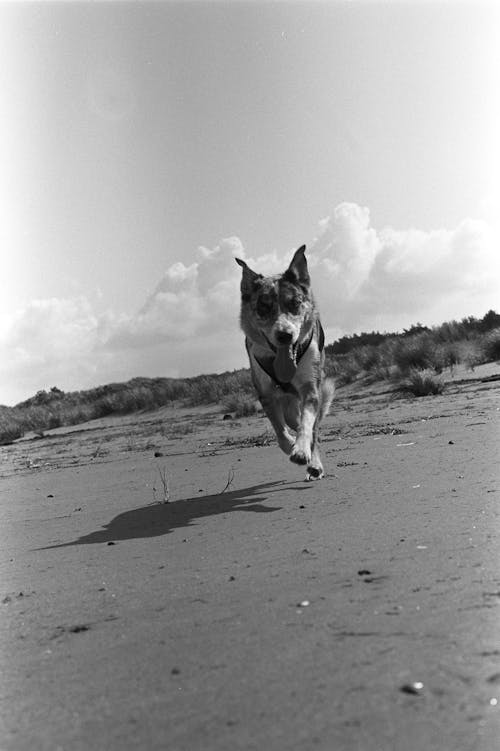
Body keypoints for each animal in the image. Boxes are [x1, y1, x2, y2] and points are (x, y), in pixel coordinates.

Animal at [236, 247, 334, 482]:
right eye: (263, 307)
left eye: (295, 303)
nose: (285, 335)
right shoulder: (266, 394)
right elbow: (280, 433)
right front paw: (291, 445)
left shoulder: (310, 387)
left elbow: (307, 424)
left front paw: (302, 451)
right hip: (287, 405)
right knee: (291, 421)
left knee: (313, 430)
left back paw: (314, 464)